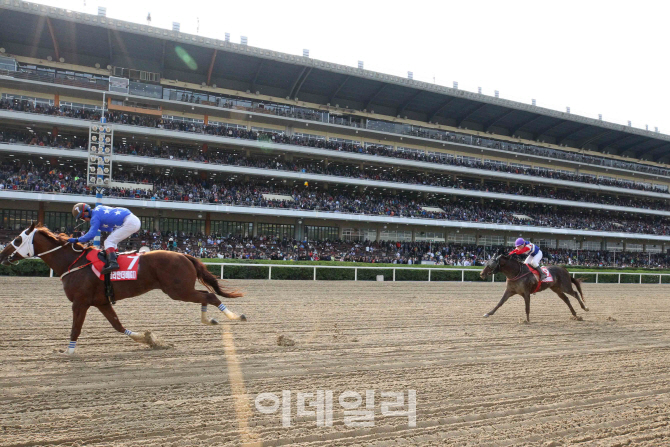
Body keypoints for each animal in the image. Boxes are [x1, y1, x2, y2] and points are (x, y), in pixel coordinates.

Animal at [0, 226, 247, 356]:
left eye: (18, 239)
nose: (2, 255)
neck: (73, 262)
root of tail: (184, 254)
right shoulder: (101, 302)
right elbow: (118, 326)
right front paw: (147, 339)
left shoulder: (80, 302)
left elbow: (75, 329)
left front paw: (68, 352)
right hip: (181, 289)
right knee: (205, 296)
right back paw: (209, 319)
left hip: (178, 290)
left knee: (210, 295)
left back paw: (235, 316)